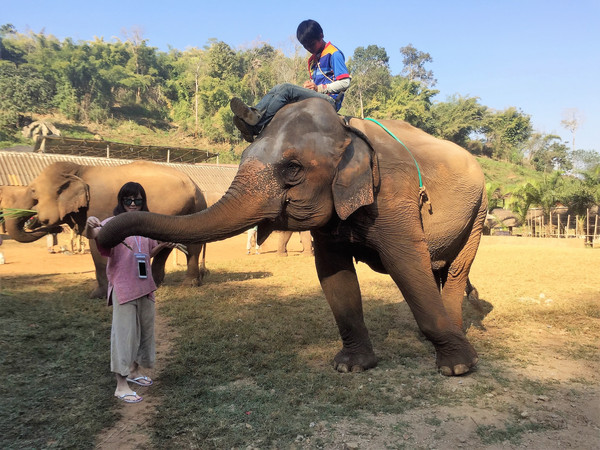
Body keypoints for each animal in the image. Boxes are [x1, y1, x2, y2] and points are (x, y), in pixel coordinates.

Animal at [3, 160, 209, 298]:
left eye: (33, 192)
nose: (56, 229)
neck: (78, 168)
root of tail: (194, 185)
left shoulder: (98, 206)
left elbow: (98, 246)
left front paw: (97, 295)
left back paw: (187, 285)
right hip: (190, 209)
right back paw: (164, 283)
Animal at [98, 98, 490, 376]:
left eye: (292, 168)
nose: (101, 235)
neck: (347, 131)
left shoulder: (394, 195)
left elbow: (406, 264)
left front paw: (458, 368)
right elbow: (333, 272)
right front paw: (350, 366)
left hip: (480, 210)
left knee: (455, 271)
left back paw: (457, 347)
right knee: (439, 269)